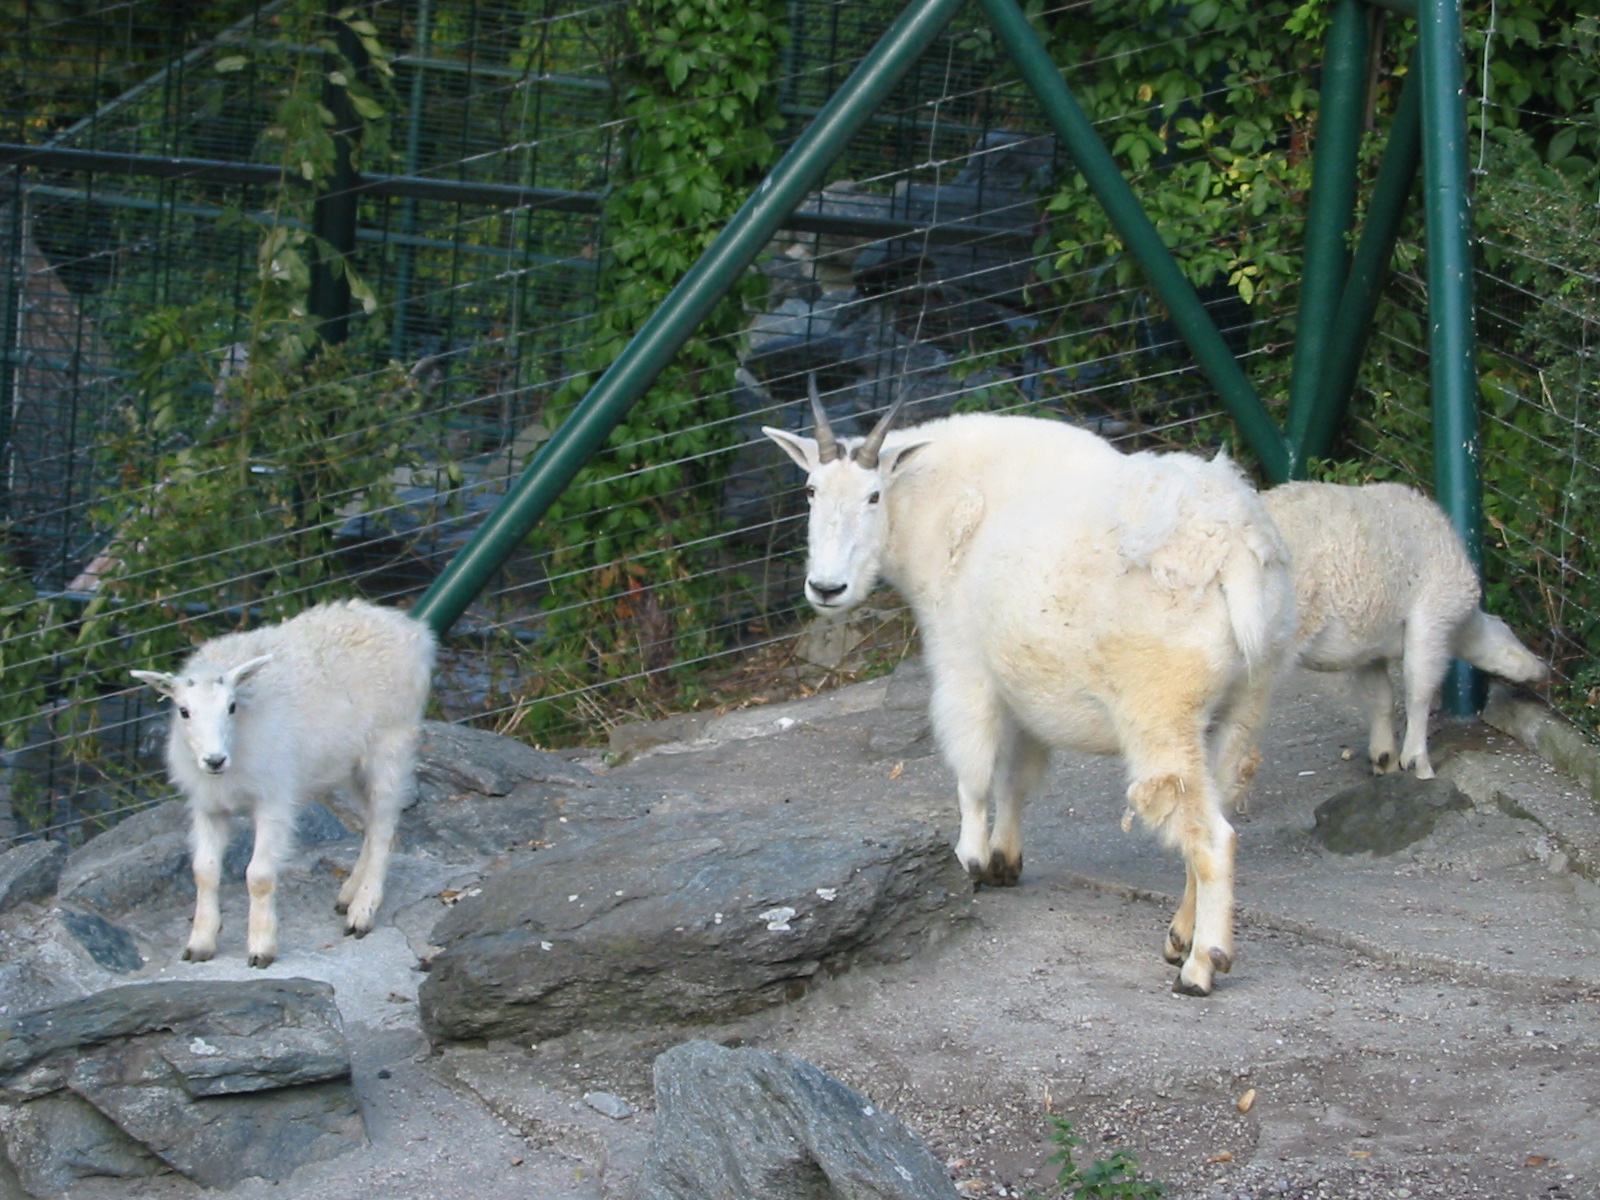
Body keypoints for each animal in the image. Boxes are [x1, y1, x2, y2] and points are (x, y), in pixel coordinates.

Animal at [131, 599, 436, 967]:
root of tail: (411, 629)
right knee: (375, 821)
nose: (214, 760)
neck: (238, 744)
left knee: (383, 825)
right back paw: (348, 894)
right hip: (350, 765)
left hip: (391, 743)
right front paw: (200, 944)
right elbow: (204, 871)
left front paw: (262, 947)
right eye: (183, 711)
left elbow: (259, 876)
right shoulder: (208, 805)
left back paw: (362, 912)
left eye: (231, 706)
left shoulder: (273, 798)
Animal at [764, 383, 1295, 995]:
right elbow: (1016, 775)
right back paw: (1179, 938)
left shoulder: (964, 663)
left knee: (1212, 838)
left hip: (1162, 710)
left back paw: (1202, 965)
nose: (827, 588)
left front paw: (969, 860)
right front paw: (1004, 862)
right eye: (810, 490)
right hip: (1243, 704)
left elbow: (973, 772)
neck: (946, 503)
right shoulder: (1022, 683)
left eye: (874, 495)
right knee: (1215, 810)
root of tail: (1236, 554)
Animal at [1262, 480, 1547, 780]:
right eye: (1514, 635)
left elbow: (1381, 698)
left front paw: (1384, 756)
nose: (1543, 670)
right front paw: (1416, 762)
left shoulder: (1367, 645)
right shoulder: (1431, 620)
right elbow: (1419, 691)